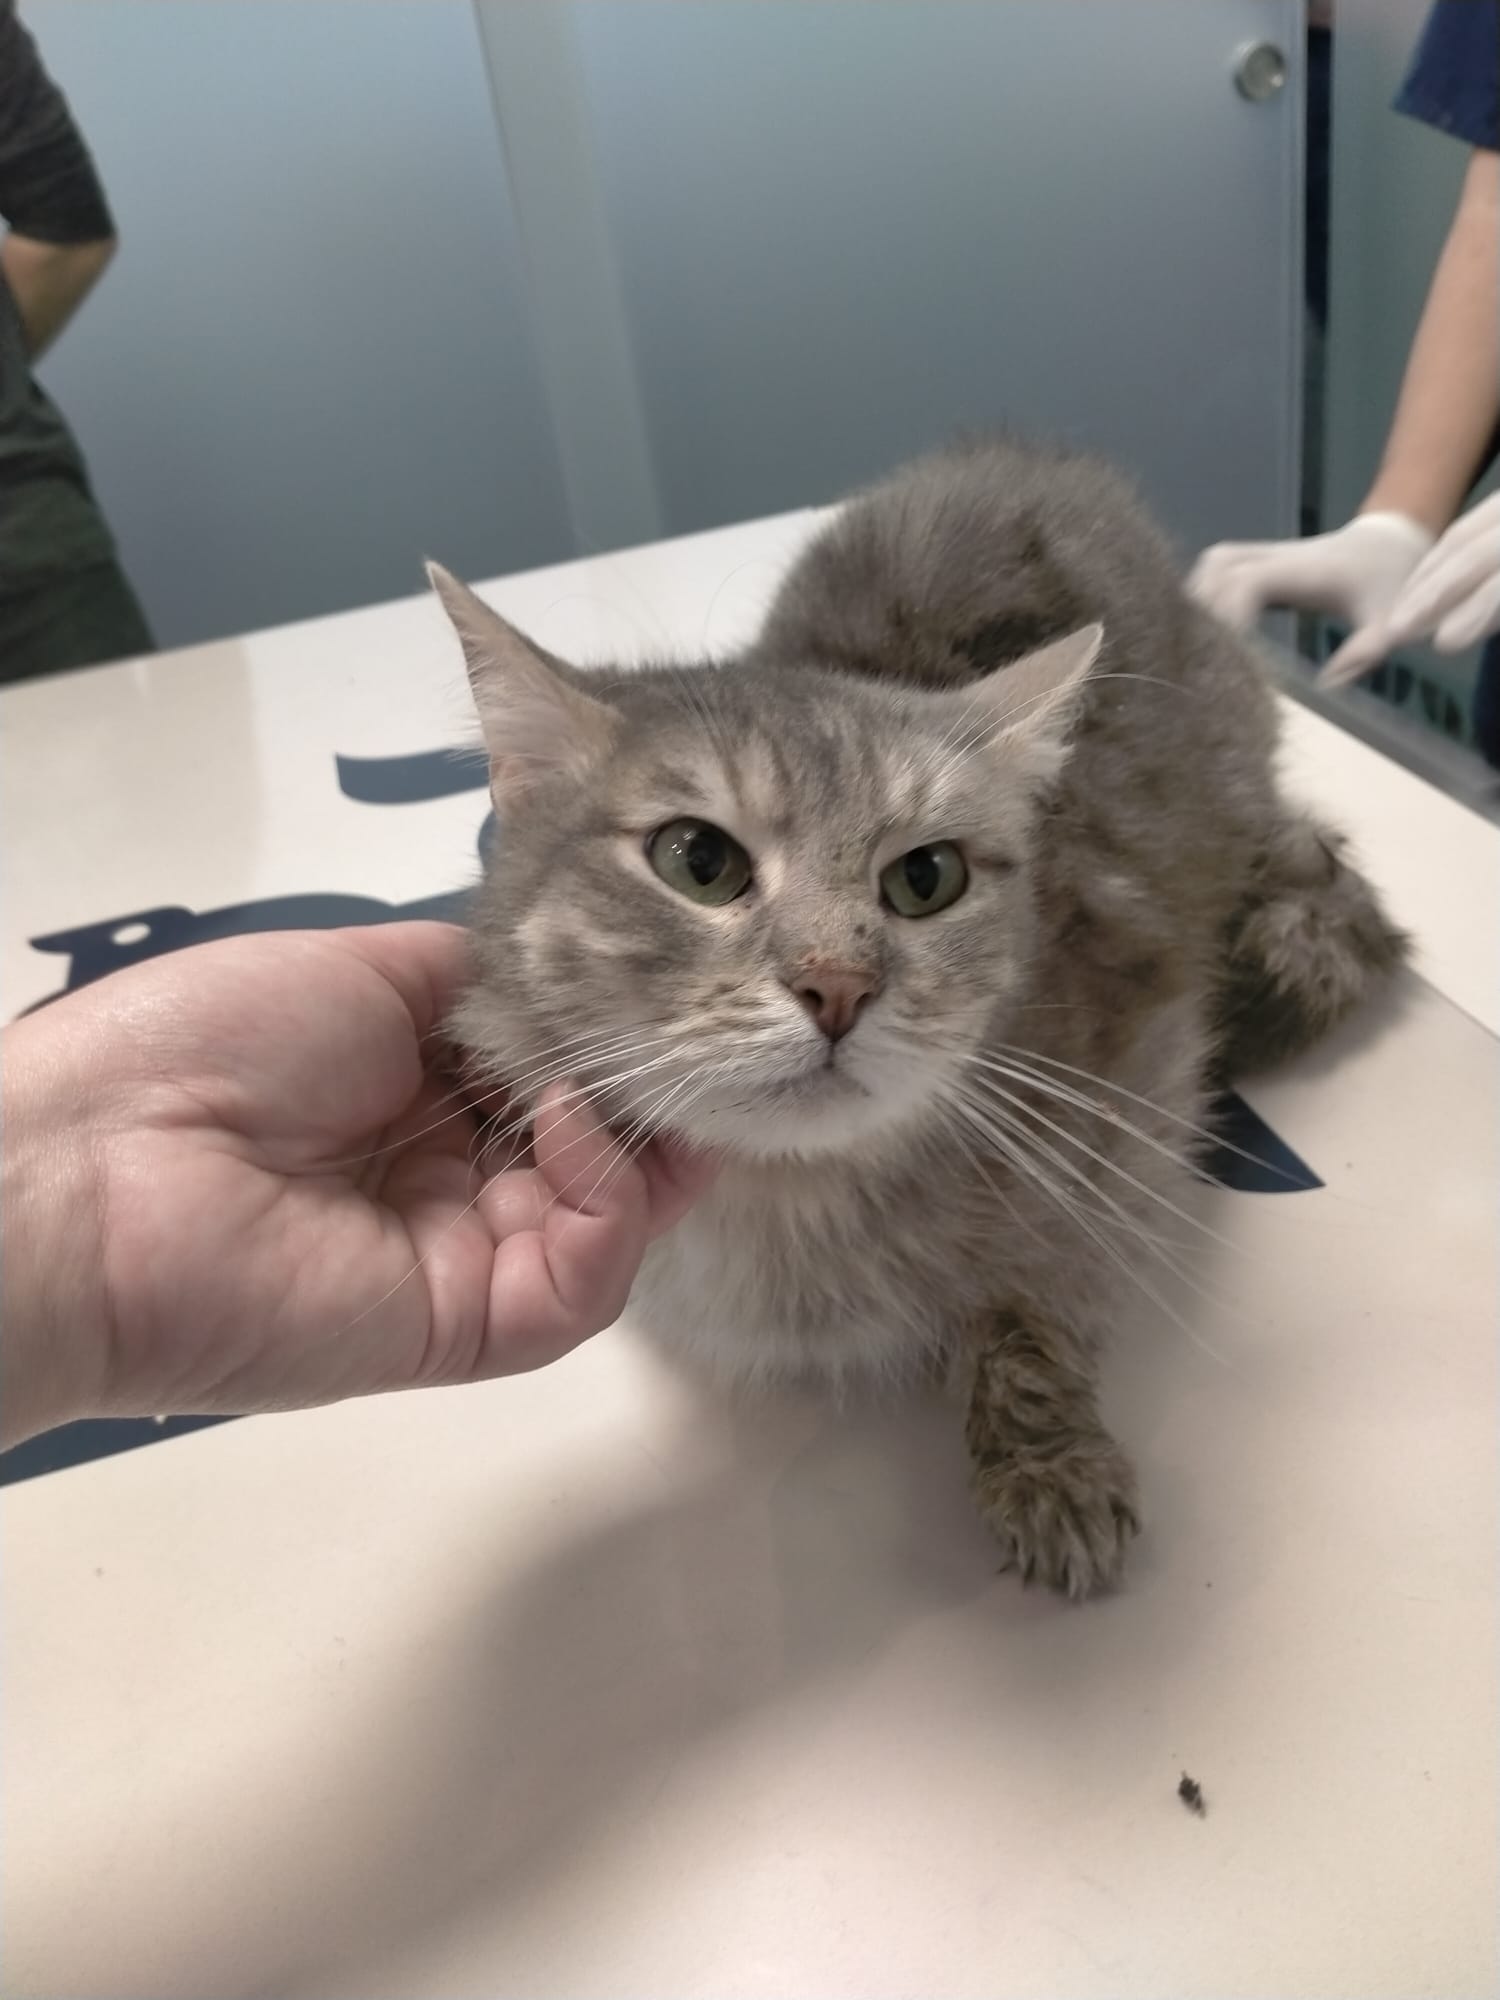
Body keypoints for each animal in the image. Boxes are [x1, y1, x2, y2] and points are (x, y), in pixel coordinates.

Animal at [431, 436, 1407, 1598]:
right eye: (698, 860)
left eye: (926, 878)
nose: (839, 986)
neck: (788, 1211)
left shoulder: (1134, 1097)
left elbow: (1040, 1302)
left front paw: (1050, 1463)